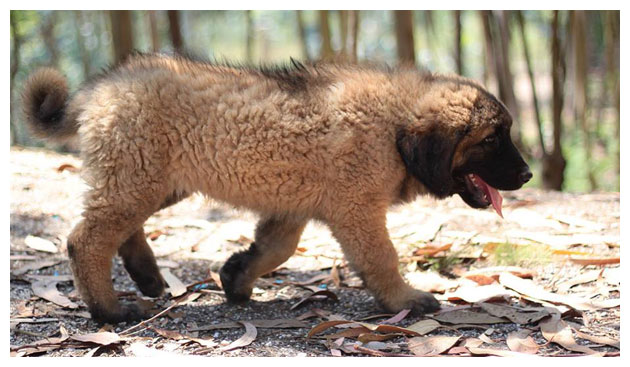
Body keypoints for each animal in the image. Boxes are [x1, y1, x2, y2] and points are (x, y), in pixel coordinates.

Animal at [21, 53, 532, 324]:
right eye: (492, 139)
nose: (527, 176)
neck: (394, 125)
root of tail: (99, 90)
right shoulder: (357, 208)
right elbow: (381, 257)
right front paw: (403, 299)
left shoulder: (294, 207)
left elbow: (275, 249)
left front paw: (236, 276)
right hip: (138, 175)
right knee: (87, 238)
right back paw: (109, 309)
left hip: (154, 179)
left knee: (122, 226)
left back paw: (146, 276)